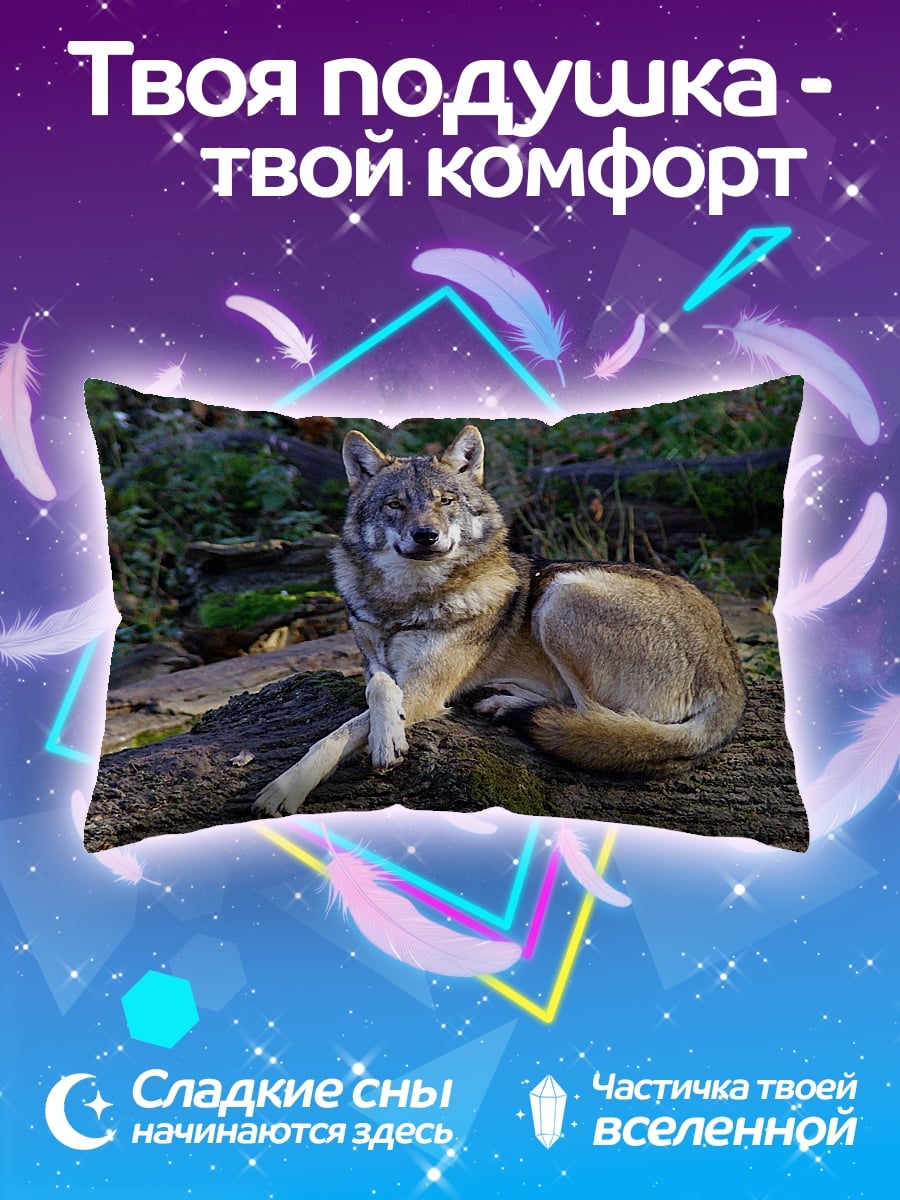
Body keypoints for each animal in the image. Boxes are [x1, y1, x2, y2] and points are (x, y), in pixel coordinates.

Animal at [253, 425, 747, 816]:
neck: (407, 601)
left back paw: (512, 707)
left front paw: (291, 784)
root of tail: (733, 676)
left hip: (560, 594)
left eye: (446, 501)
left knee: (593, 718)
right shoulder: (376, 663)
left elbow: (342, 731)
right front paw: (384, 731)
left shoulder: (426, 689)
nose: (426, 535)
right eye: (395, 505)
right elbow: (378, 687)